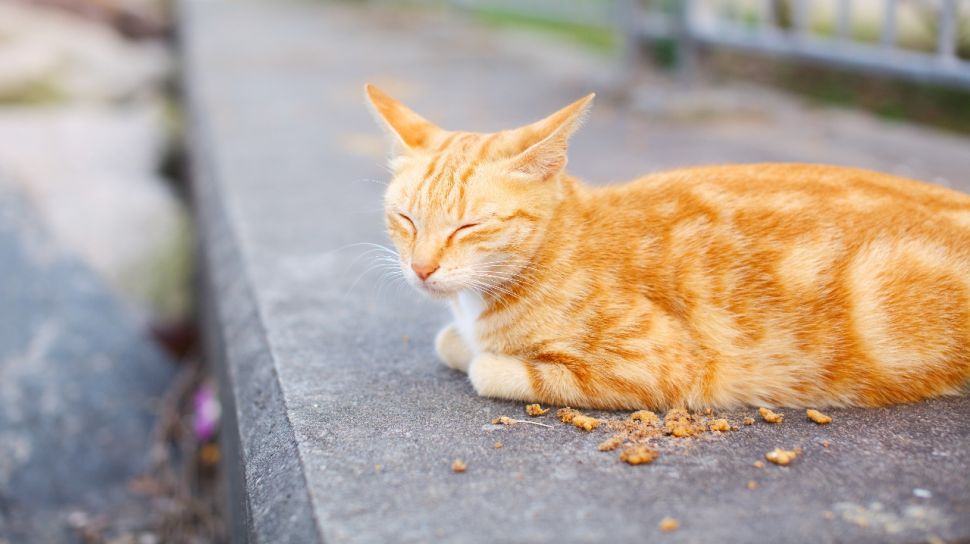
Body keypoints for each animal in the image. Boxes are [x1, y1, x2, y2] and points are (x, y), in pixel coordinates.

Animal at [364, 84, 968, 408]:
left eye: (469, 226)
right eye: (406, 218)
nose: (421, 269)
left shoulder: (659, 364)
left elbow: (486, 367)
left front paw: (483, 354)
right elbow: (450, 341)